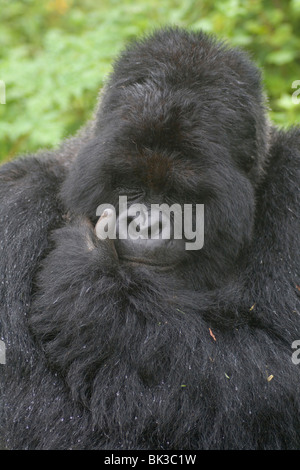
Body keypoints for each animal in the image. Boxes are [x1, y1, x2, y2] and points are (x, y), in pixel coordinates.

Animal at [0, 26, 300, 452]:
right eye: (130, 185)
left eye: (179, 195)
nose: (145, 226)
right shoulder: (16, 202)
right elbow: (31, 408)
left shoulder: (294, 181)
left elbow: (279, 373)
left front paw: (90, 289)